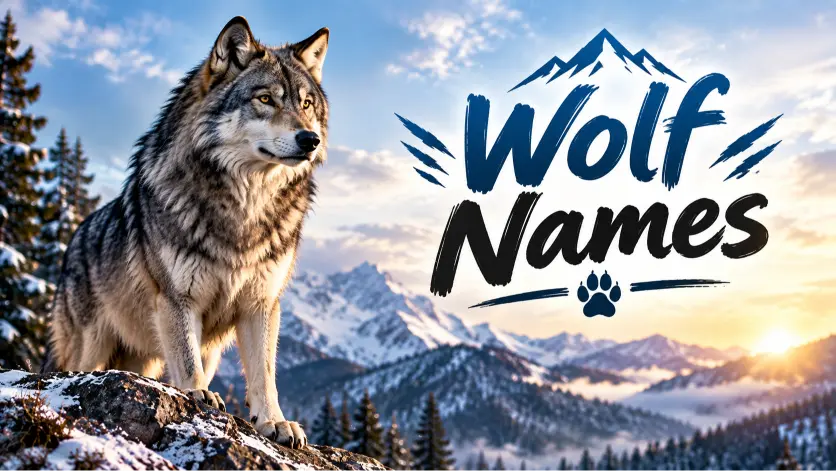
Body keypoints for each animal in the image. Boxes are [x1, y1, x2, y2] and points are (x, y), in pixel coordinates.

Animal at [44, 16, 329, 448]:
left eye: (306, 104)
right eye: (265, 99)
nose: (310, 140)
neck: (245, 207)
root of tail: (74, 240)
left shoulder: (260, 304)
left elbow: (264, 374)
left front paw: (275, 422)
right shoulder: (178, 300)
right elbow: (187, 358)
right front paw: (197, 393)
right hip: (91, 346)